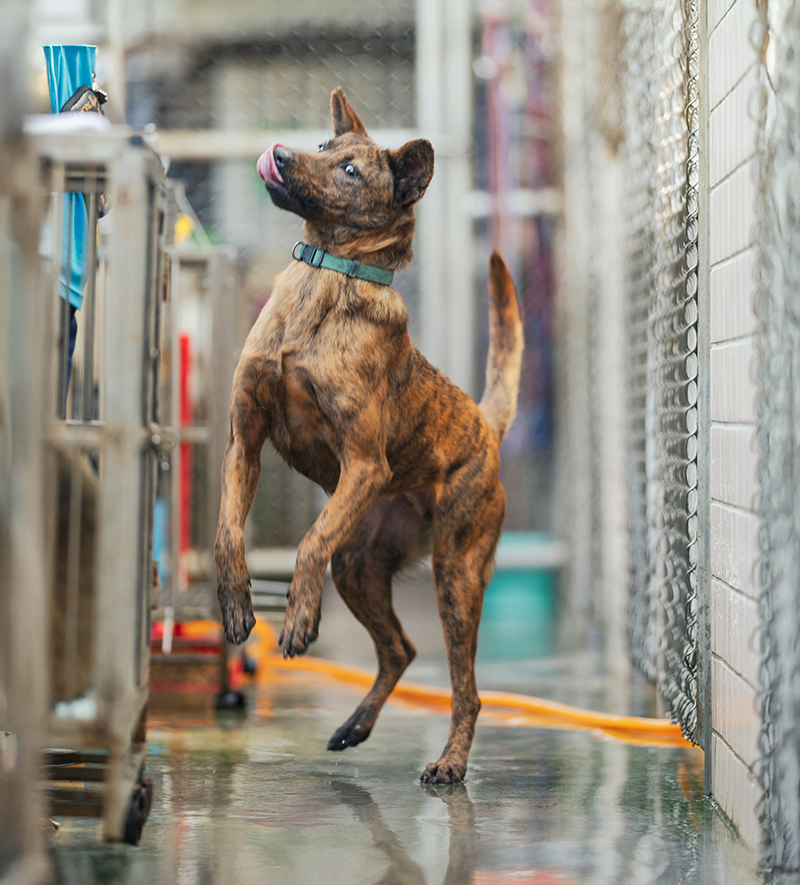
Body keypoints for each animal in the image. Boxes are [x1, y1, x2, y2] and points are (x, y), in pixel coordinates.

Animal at [215, 87, 523, 783]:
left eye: (352, 171)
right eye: (324, 148)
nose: (279, 154)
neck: (326, 276)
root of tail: (484, 426)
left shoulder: (362, 465)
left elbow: (306, 544)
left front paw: (298, 619)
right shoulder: (244, 443)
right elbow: (227, 531)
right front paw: (237, 604)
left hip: (455, 574)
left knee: (466, 690)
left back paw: (449, 764)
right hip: (358, 565)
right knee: (400, 650)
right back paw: (356, 724)